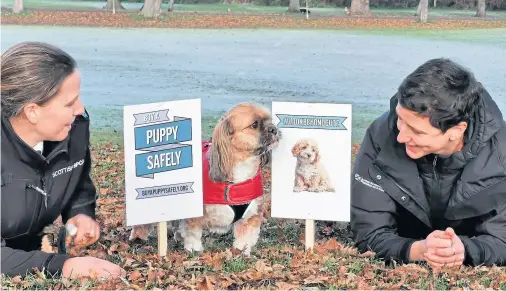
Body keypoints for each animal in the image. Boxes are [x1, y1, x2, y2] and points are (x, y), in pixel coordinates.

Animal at [129, 102, 280, 256]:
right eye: (254, 124)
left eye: (270, 121)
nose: (274, 129)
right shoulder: (195, 214)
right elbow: (193, 233)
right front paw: (194, 249)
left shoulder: (250, 216)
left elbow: (245, 239)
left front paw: (242, 251)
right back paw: (137, 236)